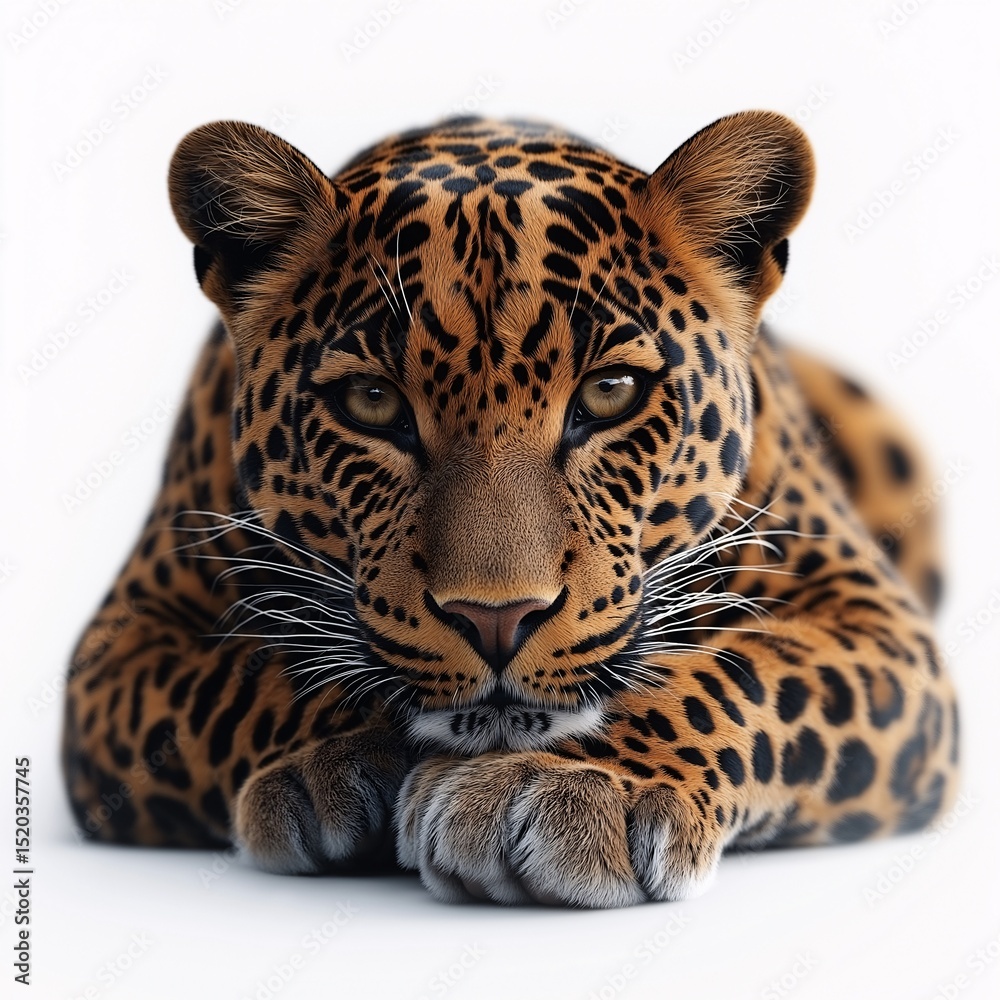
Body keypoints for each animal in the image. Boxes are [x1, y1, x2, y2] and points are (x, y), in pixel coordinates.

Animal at [61, 111, 959, 907]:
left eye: (610, 392)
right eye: (371, 403)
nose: (497, 619)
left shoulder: (875, 622)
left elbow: (738, 672)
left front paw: (569, 787)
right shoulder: (119, 649)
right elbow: (244, 681)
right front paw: (334, 766)